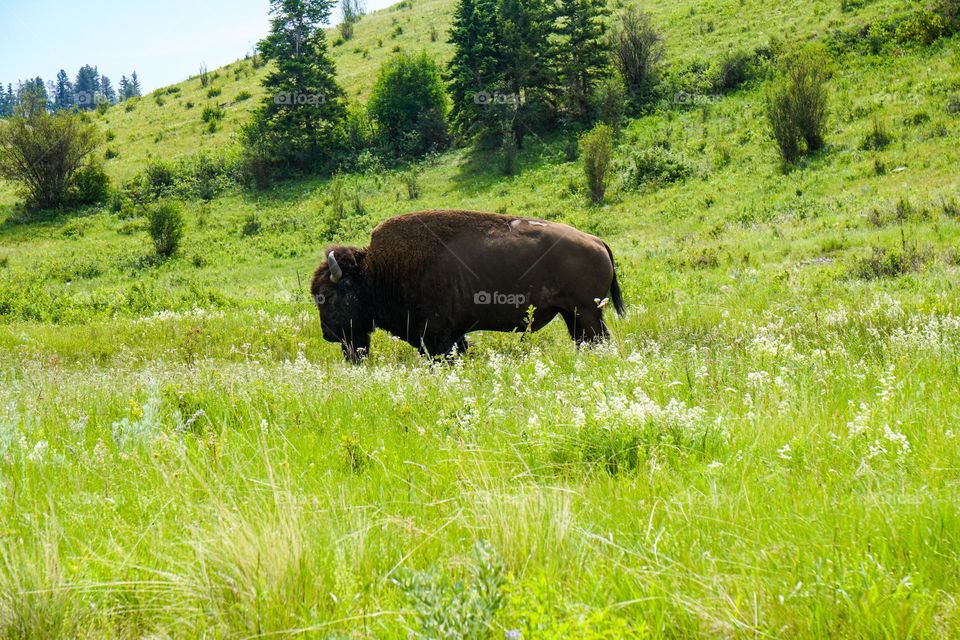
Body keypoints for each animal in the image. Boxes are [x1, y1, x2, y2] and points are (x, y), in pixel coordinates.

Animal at [311, 210, 626, 362]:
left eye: (328, 296)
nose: (328, 334)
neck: (376, 272)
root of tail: (596, 241)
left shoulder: (435, 334)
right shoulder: (453, 334)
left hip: (587, 312)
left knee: (598, 338)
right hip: (571, 314)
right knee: (584, 340)